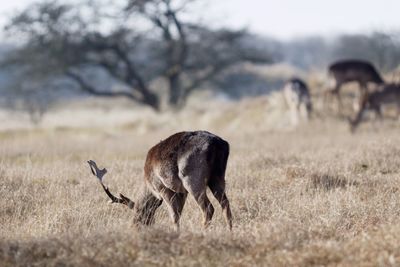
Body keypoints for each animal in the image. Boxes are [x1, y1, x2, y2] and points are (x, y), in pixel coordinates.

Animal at [87, 131, 231, 231]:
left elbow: (174, 215)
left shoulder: (162, 187)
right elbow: (179, 212)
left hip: (192, 178)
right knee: (225, 204)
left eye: (138, 213)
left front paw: (176, 233)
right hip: (217, 176)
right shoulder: (181, 192)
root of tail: (219, 145)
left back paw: (203, 232)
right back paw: (230, 232)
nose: (133, 227)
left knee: (208, 208)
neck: (148, 183)